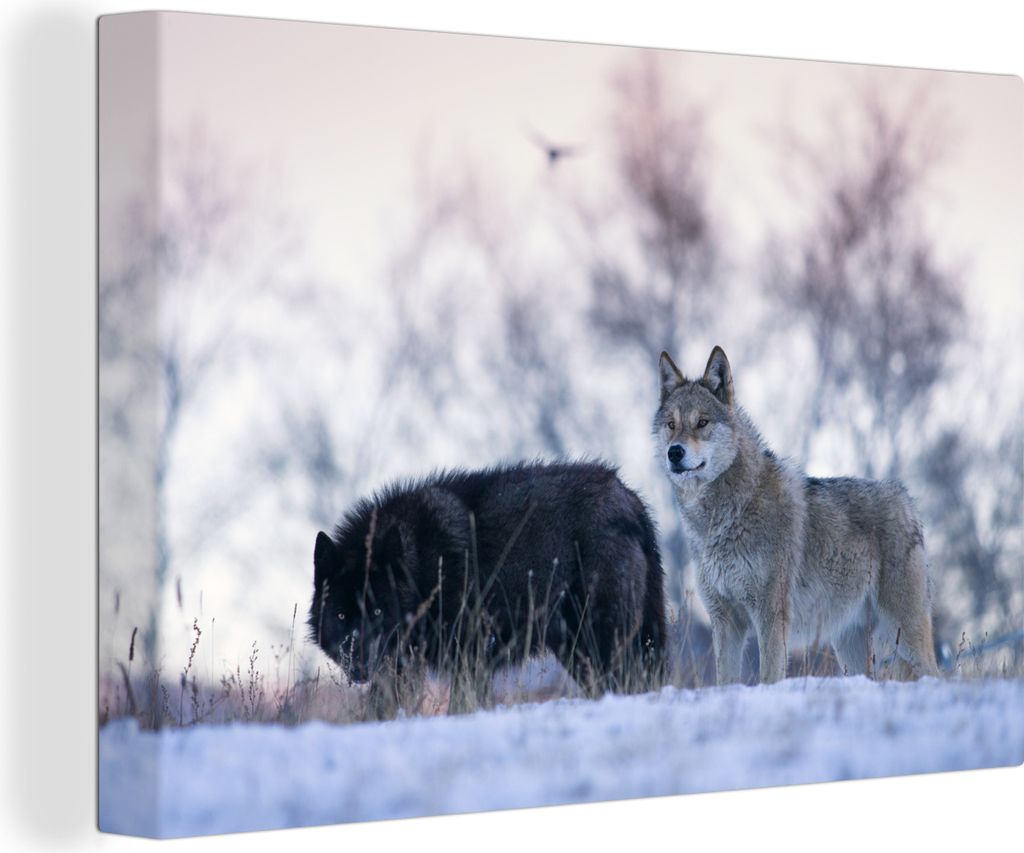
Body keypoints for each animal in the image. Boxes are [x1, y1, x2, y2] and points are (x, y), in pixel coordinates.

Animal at [309, 461, 666, 696]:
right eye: (340, 616)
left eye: (378, 611)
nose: (358, 666)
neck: (422, 568)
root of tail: (631, 499)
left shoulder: (470, 656)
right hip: (577, 649)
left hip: (600, 639)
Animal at [655, 346, 939, 684]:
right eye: (672, 424)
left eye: (702, 422)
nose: (674, 452)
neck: (723, 516)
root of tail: (907, 500)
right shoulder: (725, 621)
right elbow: (726, 680)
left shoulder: (770, 615)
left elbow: (768, 676)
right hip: (850, 643)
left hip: (903, 633)